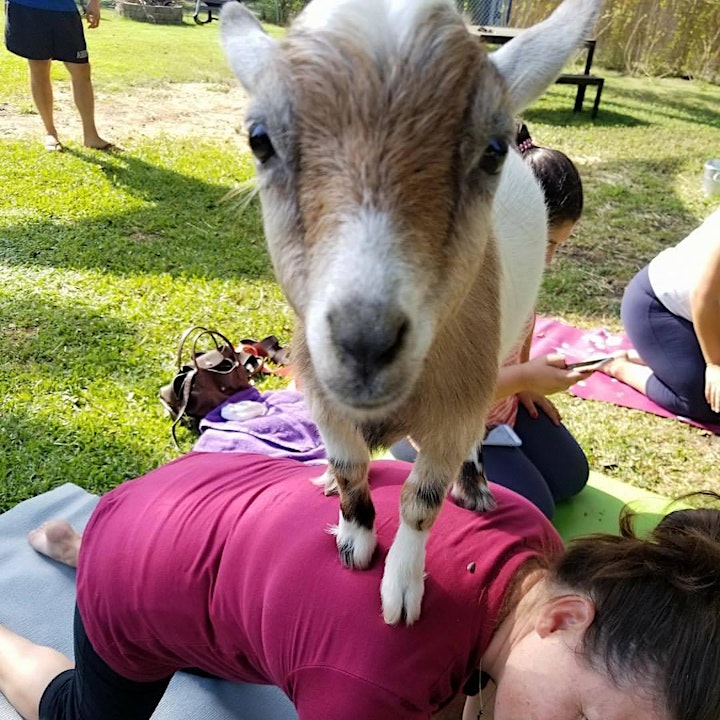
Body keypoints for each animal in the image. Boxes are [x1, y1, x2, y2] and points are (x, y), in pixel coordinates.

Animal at [221, 0, 600, 624]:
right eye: (260, 140)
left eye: (492, 150)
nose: (365, 341)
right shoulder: (323, 398)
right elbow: (351, 467)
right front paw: (354, 537)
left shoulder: (454, 408)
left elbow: (421, 500)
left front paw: (401, 585)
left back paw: (475, 486)